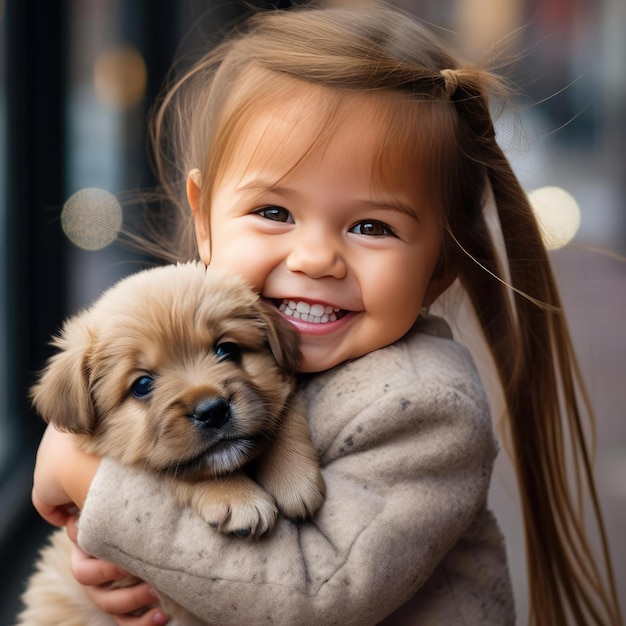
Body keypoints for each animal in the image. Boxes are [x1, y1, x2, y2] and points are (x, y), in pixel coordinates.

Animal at [17, 262, 324, 624]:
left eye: (227, 350)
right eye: (142, 385)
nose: (212, 411)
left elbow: (282, 411)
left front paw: (293, 478)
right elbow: (175, 470)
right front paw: (236, 495)